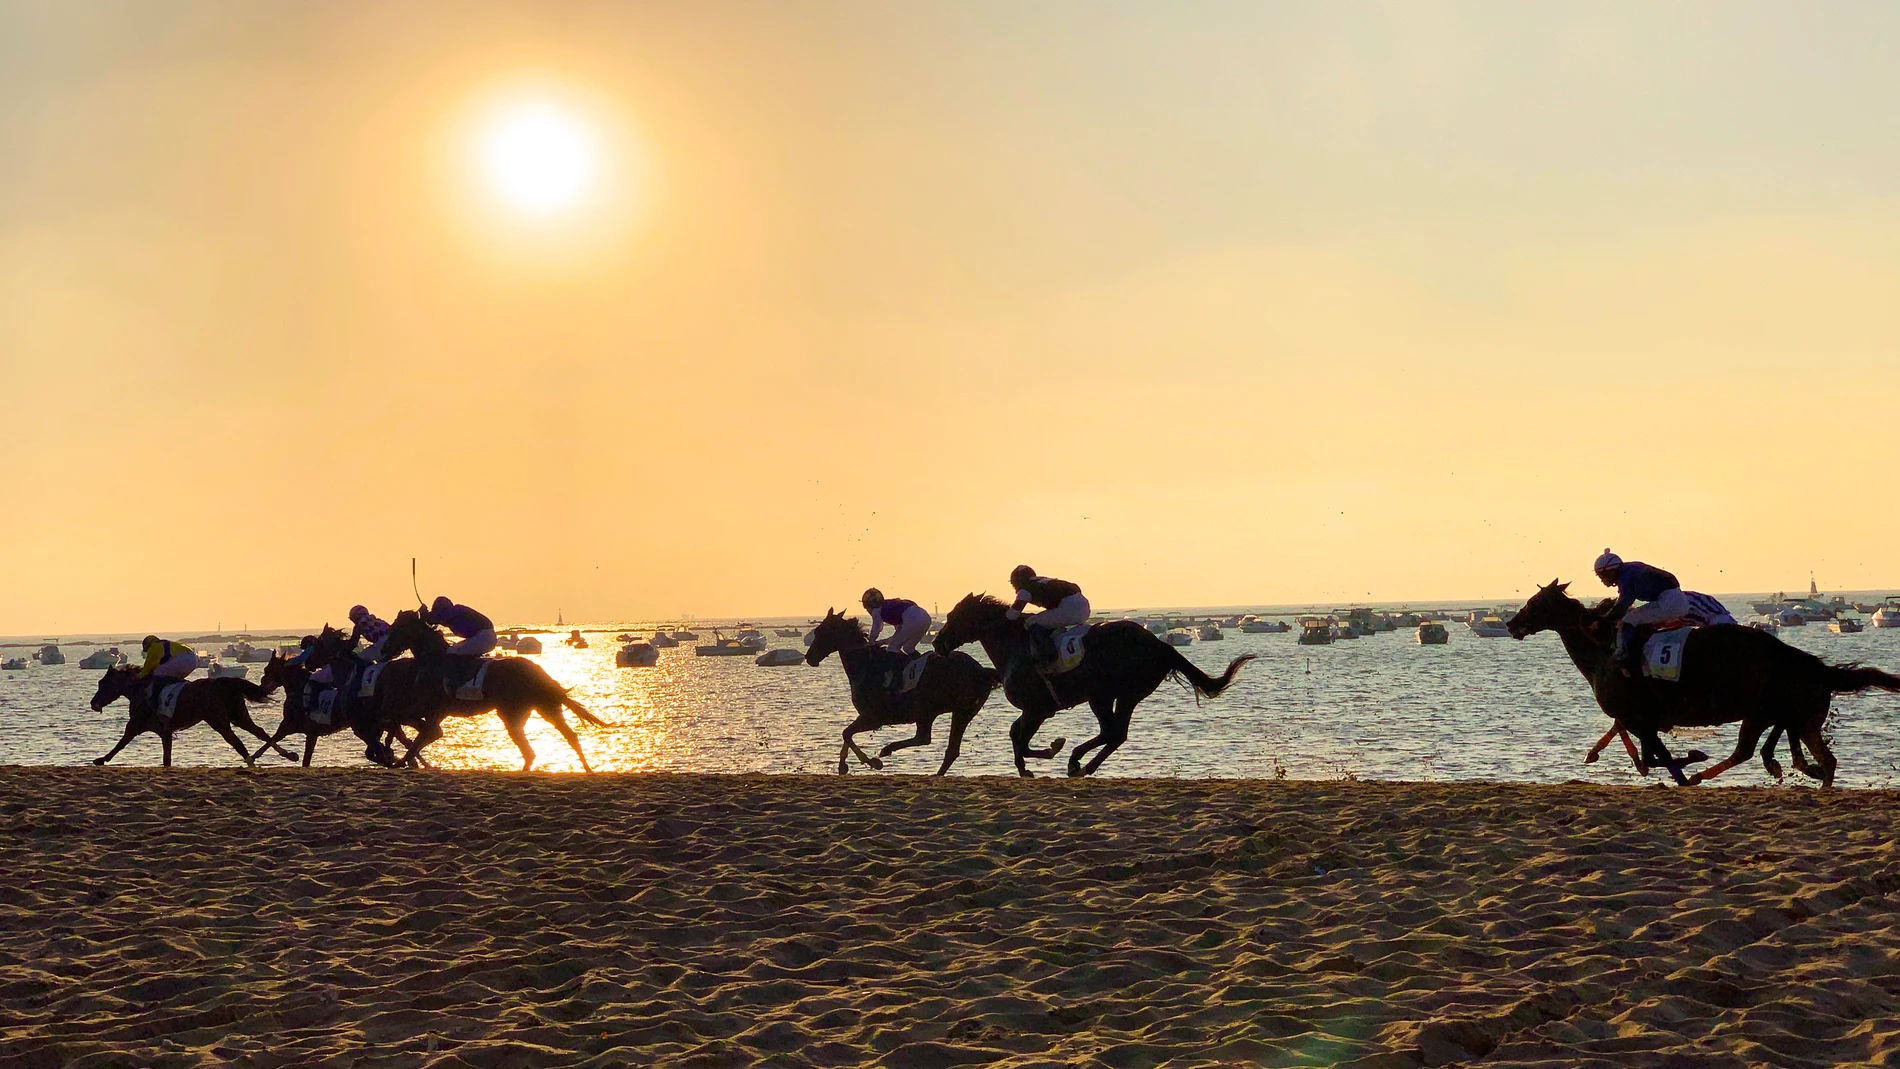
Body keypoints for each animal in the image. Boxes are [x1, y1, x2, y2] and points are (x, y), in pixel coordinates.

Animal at [89, 664, 294, 767]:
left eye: (103, 683)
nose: (93, 703)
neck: (140, 690)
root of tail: (226, 681)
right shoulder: (162, 731)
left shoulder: (143, 726)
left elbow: (122, 743)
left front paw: (101, 759)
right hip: (238, 715)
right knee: (259, 732)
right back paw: (287, 755)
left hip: (217, 720)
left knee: (236, 741)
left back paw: (252, 761)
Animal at [374, 615, 604, 774]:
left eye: (397, 628)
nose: (384, 650)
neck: (434, 661)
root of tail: (537, 671)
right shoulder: (426, 708)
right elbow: (403, 722)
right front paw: (393, 750)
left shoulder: (435, 709)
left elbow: (422, 735)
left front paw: (397, 758)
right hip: (544, 707)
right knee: (566, 737)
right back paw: (587, 768)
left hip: (513, 714)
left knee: (531, 750)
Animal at [805, 611, 1010, 778]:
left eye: (822, 632)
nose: (809, 658)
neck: (867, 666)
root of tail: (982, 670)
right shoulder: (868, 717)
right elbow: (846, 734)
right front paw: (845, 766)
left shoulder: (874, 717)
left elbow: (846, 733)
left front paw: (869, 762)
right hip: (948, 711)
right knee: (935, 743)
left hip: (947, 710)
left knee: (932, 741)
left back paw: (889, 752)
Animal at [931, 592, 1254, 778]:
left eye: (954, 616)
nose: (936, 643)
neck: (1015, 646)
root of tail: (1160, 644)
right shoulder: (1034, 710)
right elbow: (1015, 734)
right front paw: (1026, 767)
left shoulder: (1038, 709)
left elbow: (1021, 738)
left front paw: (1051, 749)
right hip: (1123, 695)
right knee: (1117, 734)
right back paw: (1085, 765)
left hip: (1104, 694)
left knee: (1111, 731)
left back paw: (1077, 762)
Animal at [1497, 581, 1900, 789]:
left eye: (1534, 602)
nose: (1511, 624)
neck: (1603, 647)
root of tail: (1803, 660)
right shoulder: (1638, 718)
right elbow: (1636, 747)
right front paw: (1597, 754)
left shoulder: (1640, 717)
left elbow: (1652, 758)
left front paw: (1691, 761)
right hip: (1777, 712)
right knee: (1787, 749)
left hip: (1764, 710)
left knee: (1762, 751)